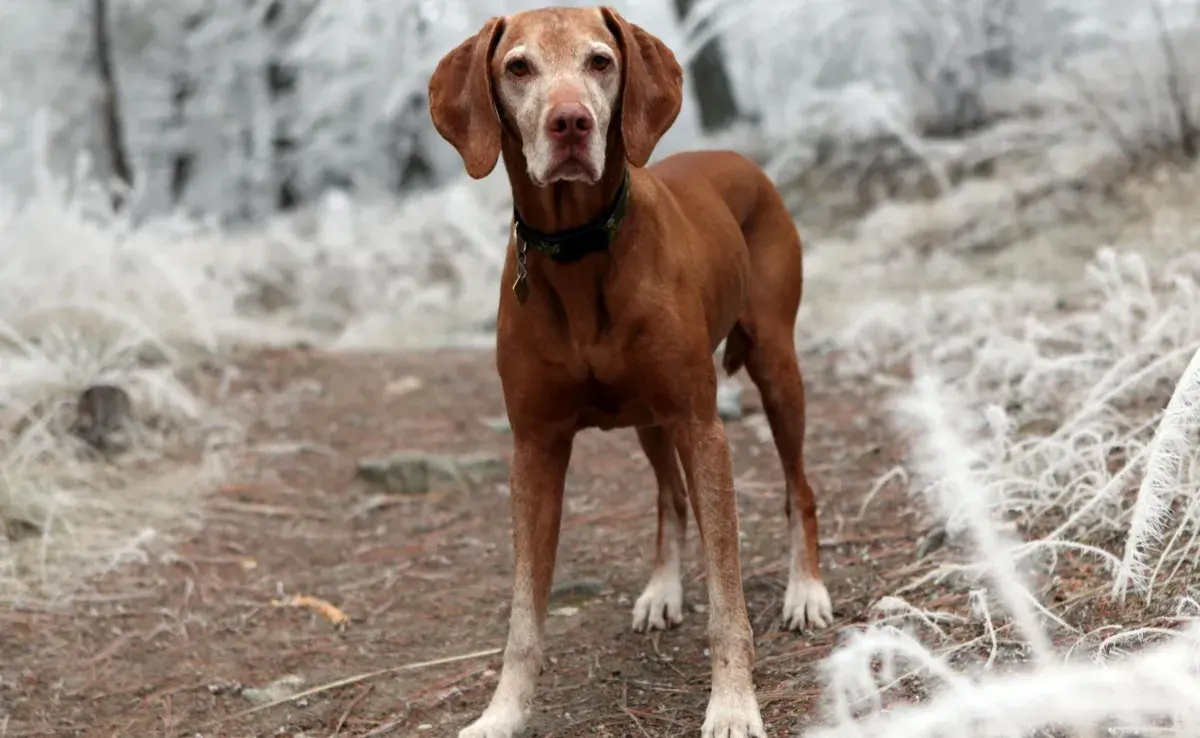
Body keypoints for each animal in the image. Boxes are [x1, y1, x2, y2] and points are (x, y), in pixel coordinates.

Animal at [432, 7, 835, 738]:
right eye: (518, 67)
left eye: (601, 61)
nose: (569, 123)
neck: (579, 251)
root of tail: (739, 157)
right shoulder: (534, 448)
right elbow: (524, 615)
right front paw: (503, 712)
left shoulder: (702, 428)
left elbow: (728, 594)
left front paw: (733, 703)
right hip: (650, 419)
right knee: (669, 499)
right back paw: (663, 588)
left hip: (775, 368)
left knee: (800, 488)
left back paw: (806, 590)